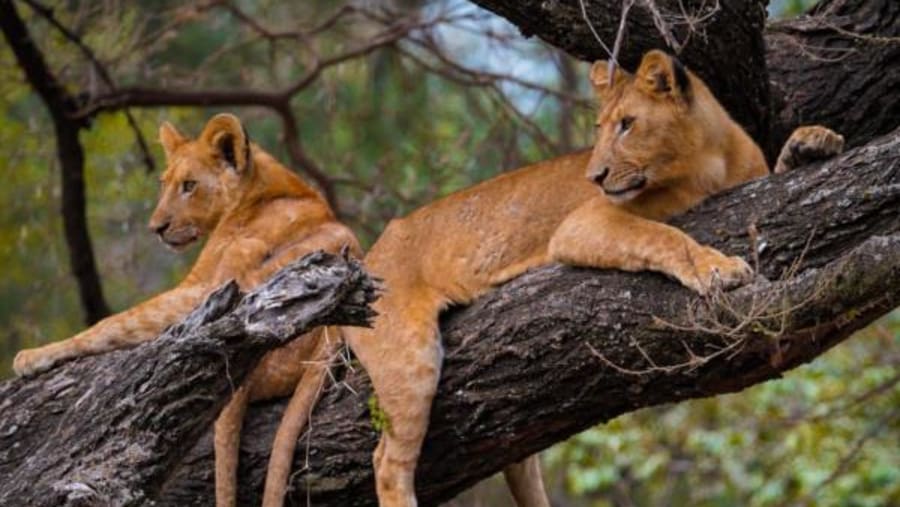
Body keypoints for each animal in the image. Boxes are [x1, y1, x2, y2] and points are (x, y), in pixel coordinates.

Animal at [12, 114, 361, 507]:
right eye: (164, 184)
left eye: (189, 185)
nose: (156, 228)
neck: (260, 187)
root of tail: (332, 336)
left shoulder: (202, 287)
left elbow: (114, 322)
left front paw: (33, 356)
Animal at [273, 51, 837, 506]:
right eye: (600, 128)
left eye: (627, 124)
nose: (596, 176)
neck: (709, 160)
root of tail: (368, 257)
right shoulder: (584, 223)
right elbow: (662, 235)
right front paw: (718, 268)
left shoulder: (748, 178)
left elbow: (778, 168)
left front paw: (814, 142)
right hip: (408, 356)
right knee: (388, 462)